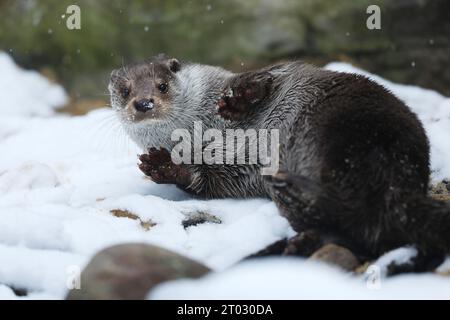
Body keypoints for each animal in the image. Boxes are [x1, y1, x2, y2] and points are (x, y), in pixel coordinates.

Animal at [109, 53, 450, 266]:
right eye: (125, 91)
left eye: (162, 85)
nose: (143, 103)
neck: (206, 131)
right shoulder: (225, 172)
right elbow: (202, 182)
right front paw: (160, 166)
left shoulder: (258, 75)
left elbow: (263, 78)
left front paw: (235, 100)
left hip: (344, 127)